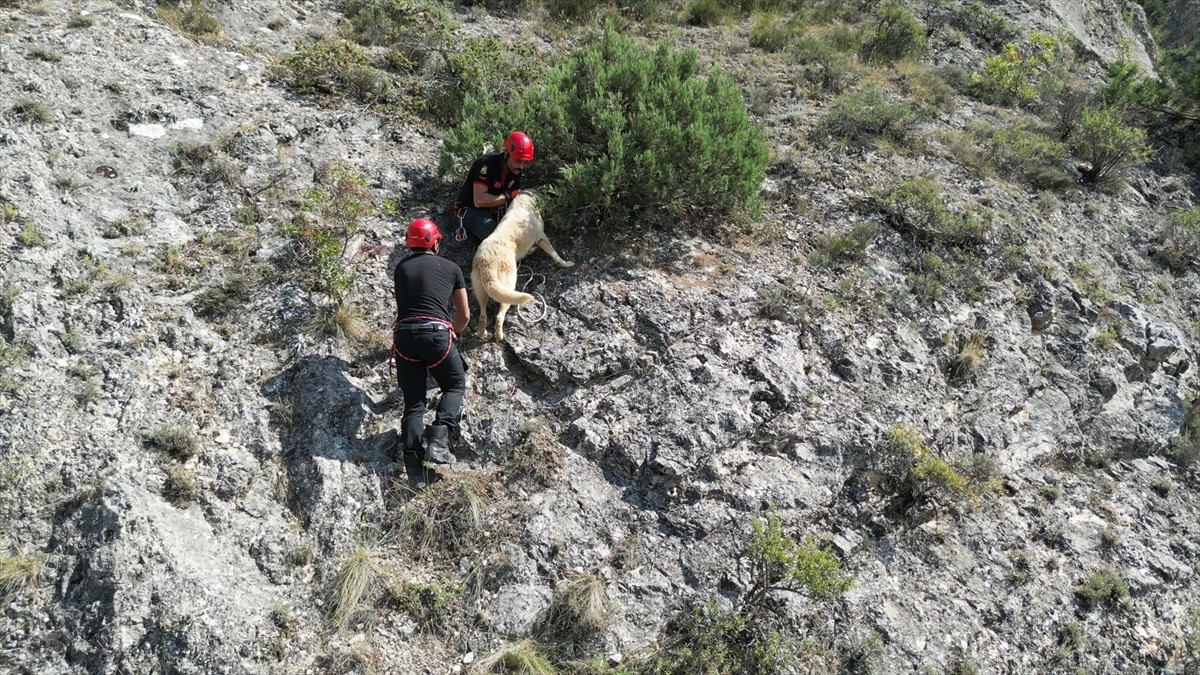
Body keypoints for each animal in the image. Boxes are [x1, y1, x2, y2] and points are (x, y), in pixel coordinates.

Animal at [470, 190, 573, 341]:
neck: (526, 199)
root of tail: (486, 262)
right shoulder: (542, 238)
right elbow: (555, 254)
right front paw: (566, 263)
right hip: (508, 287)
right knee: (499, 316)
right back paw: (500, 336)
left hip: (481, 292)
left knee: (483, 316)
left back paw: (481, 334)